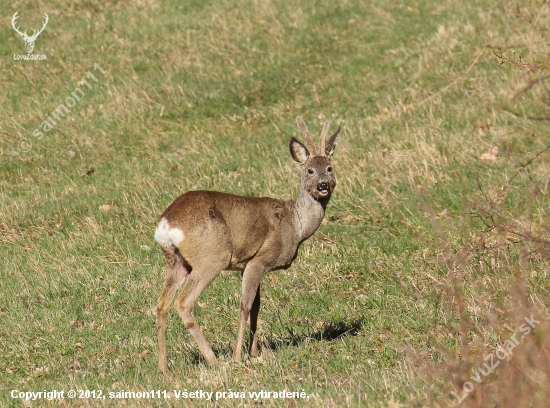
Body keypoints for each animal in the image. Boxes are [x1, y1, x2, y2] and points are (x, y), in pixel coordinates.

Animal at [155, 115, 340, 372]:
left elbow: (256, 306)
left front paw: (254, 352)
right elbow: (244, 305)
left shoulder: (249, 265)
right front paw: (237, 356)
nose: (323, 185)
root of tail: (166, 222)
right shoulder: (260, 259)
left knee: (161, 304)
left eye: (329, 168)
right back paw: (214, 360)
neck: (296, 224)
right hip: (213, 255)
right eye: (310, 170)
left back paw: (164, 368)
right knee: (183, 303)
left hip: (177, 261)